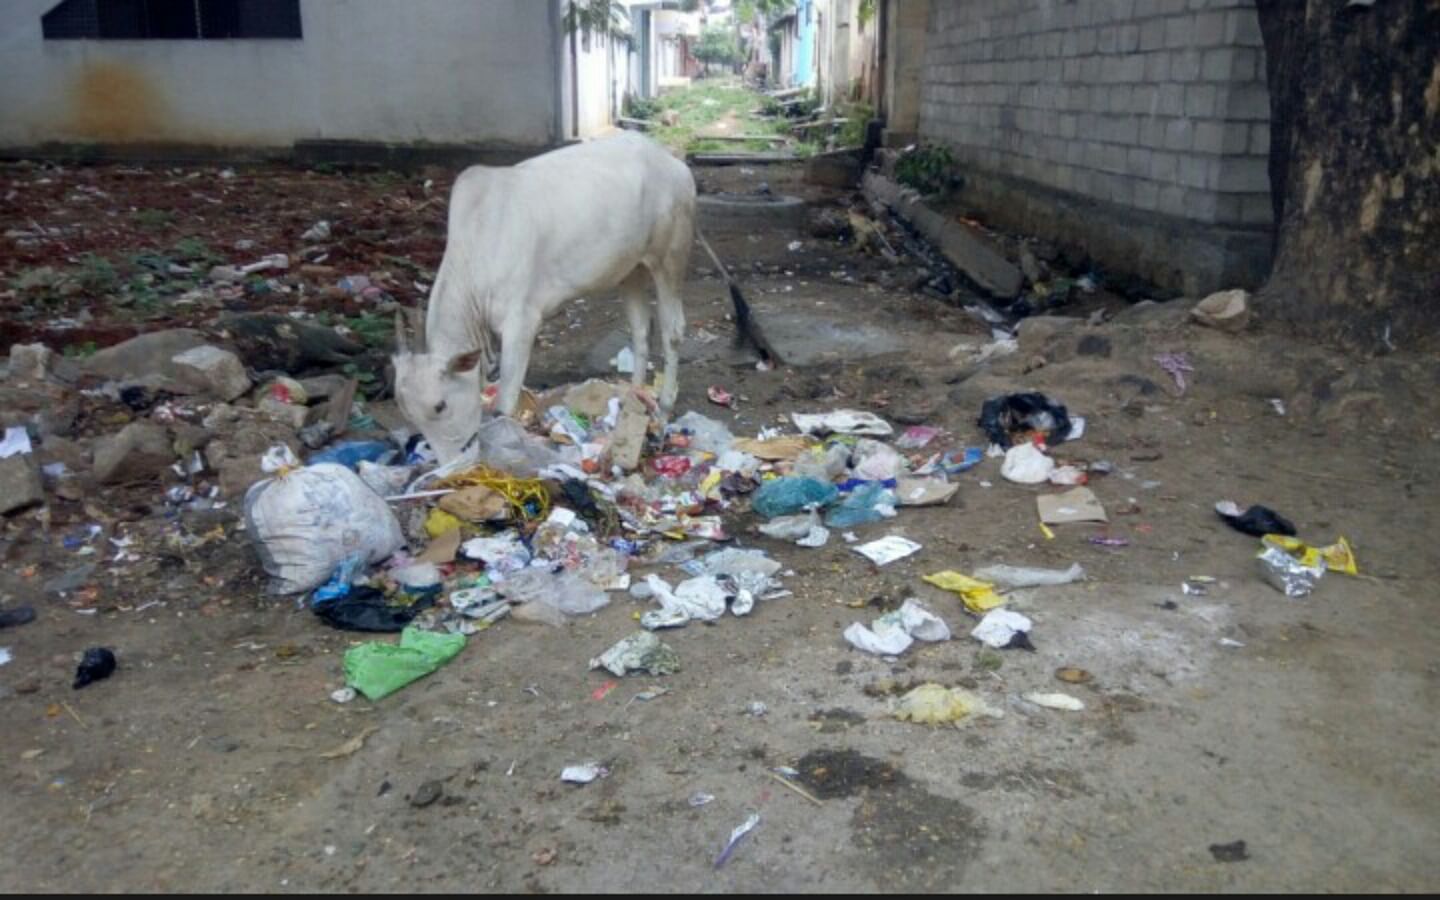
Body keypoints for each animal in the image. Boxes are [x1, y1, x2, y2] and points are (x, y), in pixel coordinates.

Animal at [394, 133, 696, 463]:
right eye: (408, 414)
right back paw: (631, 408)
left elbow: (504, 405)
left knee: (673, 332)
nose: (452, 464)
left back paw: (663, 415)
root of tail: (669, 159)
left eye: (440, 406)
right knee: (641, 330)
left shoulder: (521, 324)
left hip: (671, 258)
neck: (479, 243)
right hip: (631, 269)